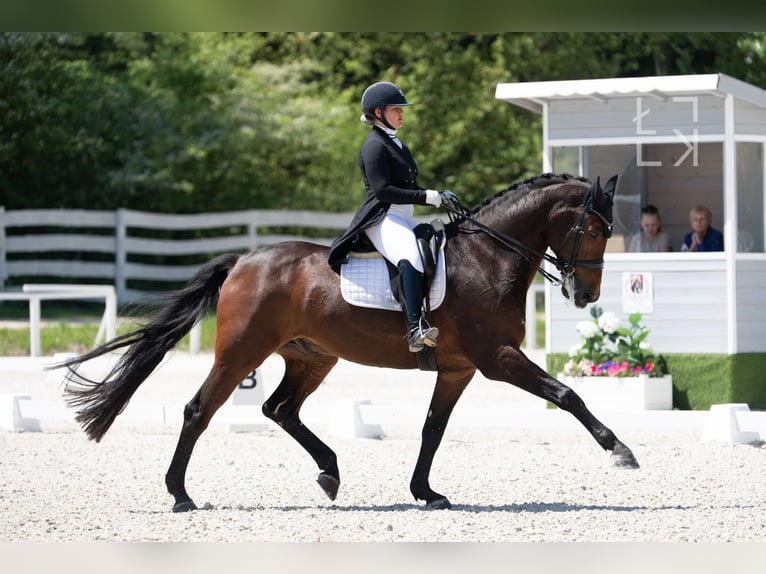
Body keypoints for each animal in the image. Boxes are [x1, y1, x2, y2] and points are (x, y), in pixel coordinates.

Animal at [57, 171, 640, 512]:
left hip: (313, 358)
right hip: (241, 353)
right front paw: (620, 450)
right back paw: (181, 495)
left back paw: (330, 472)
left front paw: (426, 492)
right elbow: (567, 394)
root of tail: (243, 260)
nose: (585, 295)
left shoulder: (458, 369)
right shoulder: (497, 359)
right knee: (200, 409)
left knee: (279, 409)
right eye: (594, 230)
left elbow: (432, 431)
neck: (488, 258)